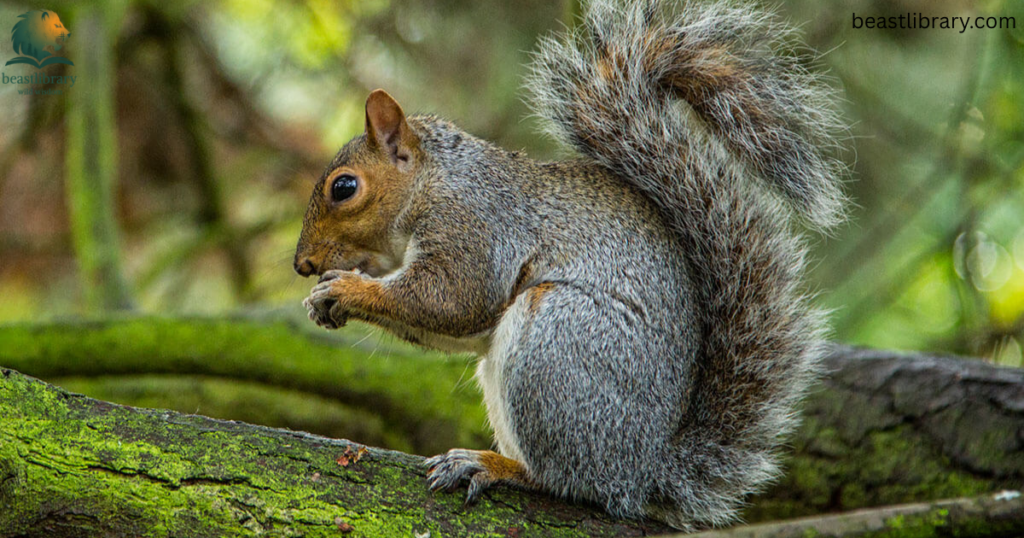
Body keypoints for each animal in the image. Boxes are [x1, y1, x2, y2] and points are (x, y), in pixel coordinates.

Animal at [294, 0, 846, 530]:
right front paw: (325, 298)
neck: (434, 182)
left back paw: (494, 465)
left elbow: (453, 297)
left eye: (345, 187)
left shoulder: (475, 225)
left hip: (556, 343)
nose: (303, 264)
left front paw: (345, 290)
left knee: (568, 481)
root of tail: (643, 471)